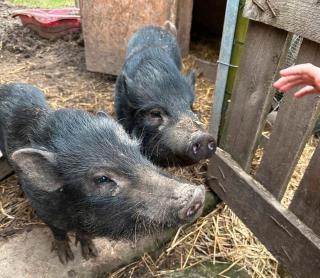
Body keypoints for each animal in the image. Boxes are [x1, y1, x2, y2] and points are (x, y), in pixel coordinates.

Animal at [0, 83, 205, 264]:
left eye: (138, 151)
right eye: (102, 179)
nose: (197, 194)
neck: (76, 214)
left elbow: (84, 235)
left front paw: (91, 254)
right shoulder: (44, 210)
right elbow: (58, 232)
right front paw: (66, 259)